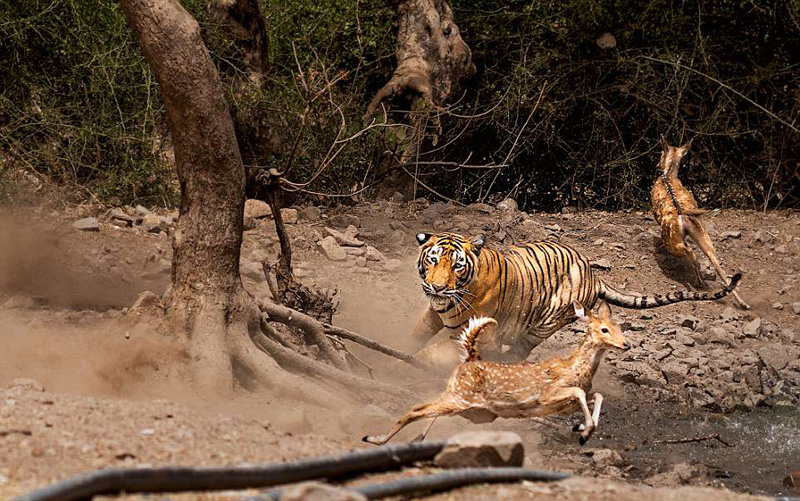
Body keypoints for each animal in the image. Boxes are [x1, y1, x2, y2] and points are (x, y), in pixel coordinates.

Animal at [362, 298, 632, 444]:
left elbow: (596, 395)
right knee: (416, 408)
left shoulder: (568, 403)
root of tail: (470, 358)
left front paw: (584, 430)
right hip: (461, 398)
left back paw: (415, 439)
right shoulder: (548, 396)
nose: (626, 344)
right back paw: (374, 439)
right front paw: (584, 429)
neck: (577, 369)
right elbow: (579, 392)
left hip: (473, 409)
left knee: (427, 407)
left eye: (620, 327)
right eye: (604, 329)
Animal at [412, 231, 744, 368]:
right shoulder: (432, 314)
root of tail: (593, 275)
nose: (437, 288)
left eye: (457, 265)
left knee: (519, 350)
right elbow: (418, 335)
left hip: (545, 323)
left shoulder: (480, 331)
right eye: (433, 260)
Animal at [648, 137, 752, 308]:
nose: (656, 165)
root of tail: (683, 215)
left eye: (660, 153)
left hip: (672, 241)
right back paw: (743, 303)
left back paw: (700, 282)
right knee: (718, 267)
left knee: (690, 253)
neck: (668, 174)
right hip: (703, 235)